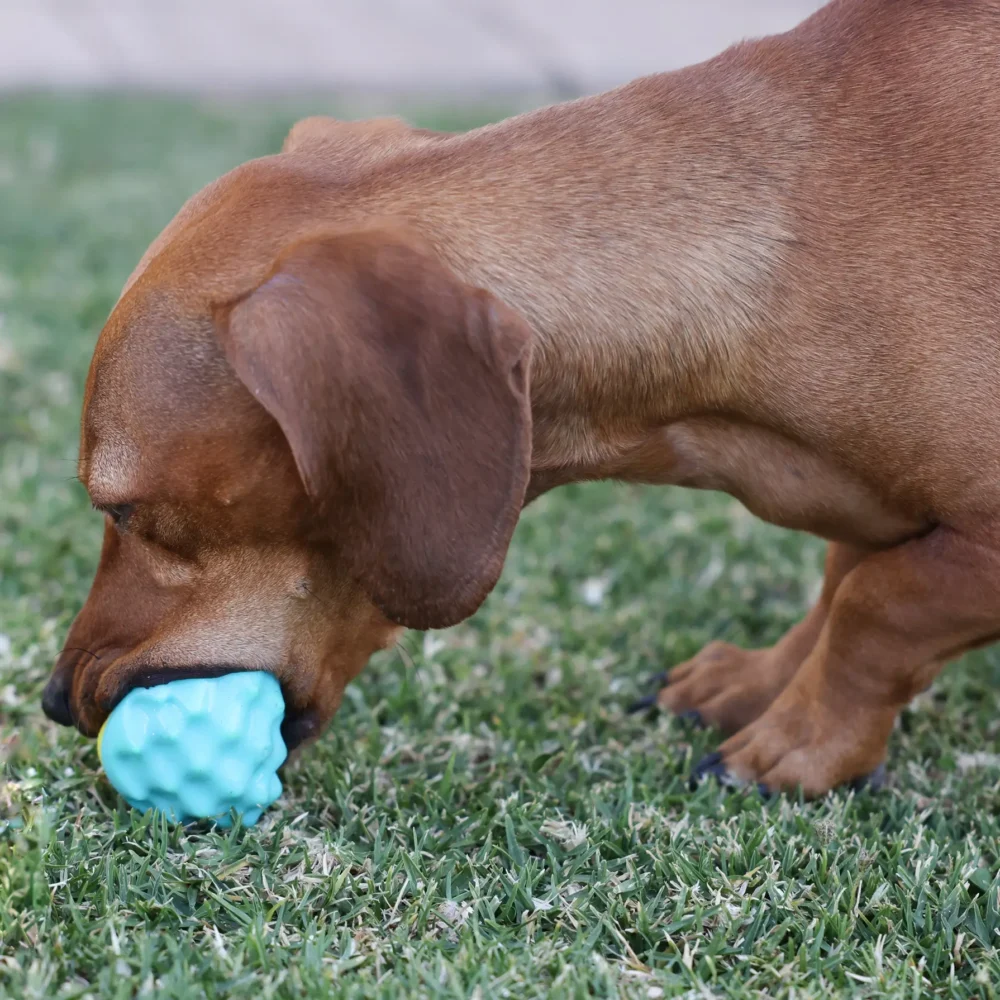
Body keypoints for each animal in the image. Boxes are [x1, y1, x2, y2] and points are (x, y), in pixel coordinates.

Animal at [43, 0, 1000, 796]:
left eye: (121, 510)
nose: (52, 699)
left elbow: (875, 606)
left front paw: (799, 745)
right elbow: (843, 587)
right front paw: (762, 683)